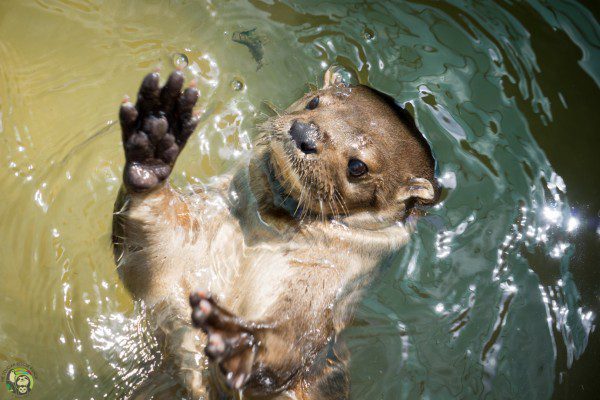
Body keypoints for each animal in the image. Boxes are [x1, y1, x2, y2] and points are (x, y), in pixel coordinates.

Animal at [111, 69, 436, 400]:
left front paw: (238, 340)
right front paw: (154, 144)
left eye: (358, 166)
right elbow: (150, 250)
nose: (305, 133)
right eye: (315, 102)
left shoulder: (314, 297)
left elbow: (285, 353)